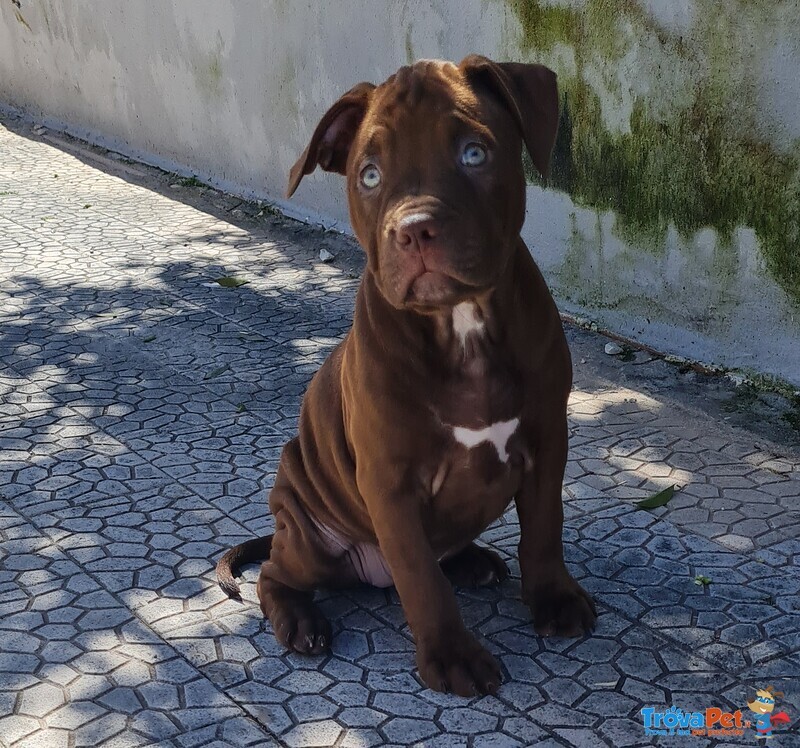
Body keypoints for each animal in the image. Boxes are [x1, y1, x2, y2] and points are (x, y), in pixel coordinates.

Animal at [217, 55, 592, 700]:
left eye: (474, 153)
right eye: (369, 175)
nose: (415, 228)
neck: (461, 325)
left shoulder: (548, 440)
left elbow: (544, 528)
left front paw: (553, 598)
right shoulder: (390, 482)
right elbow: (420, 576)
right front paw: (452, 656)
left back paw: (472, 560)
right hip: (309, 534)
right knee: (275, 574)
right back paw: (300, 621)